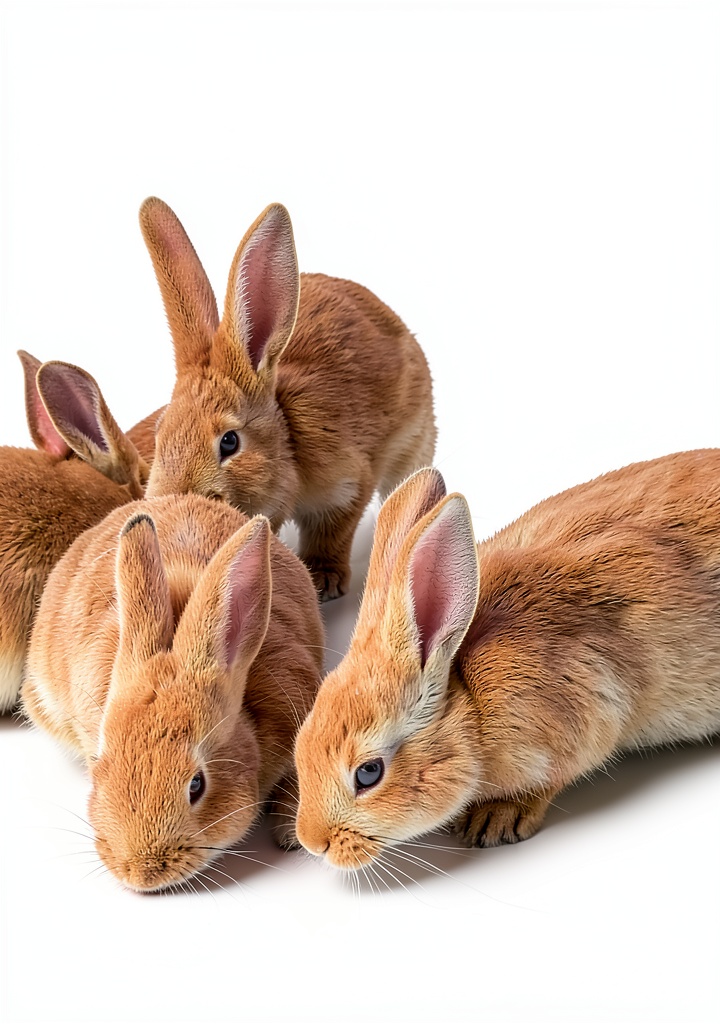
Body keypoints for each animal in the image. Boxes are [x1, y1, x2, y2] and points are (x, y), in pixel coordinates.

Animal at [139, 197, 436, 602]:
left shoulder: (346, 486)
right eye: (160, 435)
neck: (287, 442)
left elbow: (332, 532)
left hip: (414, 444)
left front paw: (324, 581)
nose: (174, 503)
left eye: (229, 442)